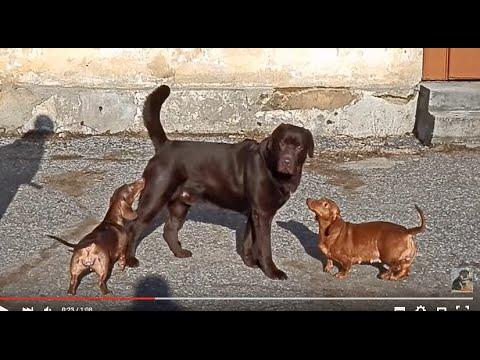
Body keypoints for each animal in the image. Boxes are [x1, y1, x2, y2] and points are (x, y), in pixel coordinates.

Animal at [125, 86, 316, 280]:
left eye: (299, 147)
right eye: (282, 144)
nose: (286, 161)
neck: (271, 167)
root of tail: (165, 146)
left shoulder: (253, 213)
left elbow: (248, 241)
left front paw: (249, 263)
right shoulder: (262, 214)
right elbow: (264, 246)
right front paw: (271, 271)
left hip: (181, 202)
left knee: (169, 229)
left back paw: (180, 253)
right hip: (155, 195)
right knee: (134, 227)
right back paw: (130, 260)